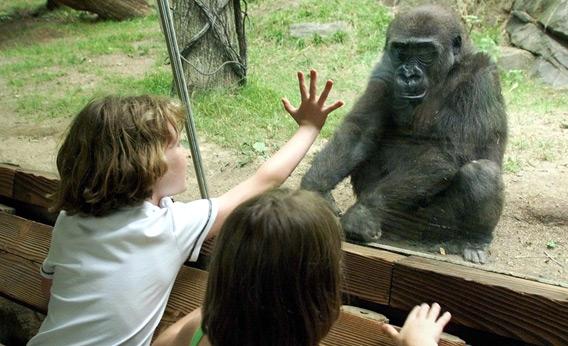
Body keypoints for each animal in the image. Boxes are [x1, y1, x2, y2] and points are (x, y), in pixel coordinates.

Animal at [300, 5, 508, 264]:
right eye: (401, 50)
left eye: (425, 51)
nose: (409, 75)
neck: (449, 70)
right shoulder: (385, 67)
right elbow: (359, 130)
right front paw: (314, 193)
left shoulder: (481, 77)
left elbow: (448, 151)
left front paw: (363, 214)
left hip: (433, 227)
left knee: (482, 173)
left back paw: (474, 241)